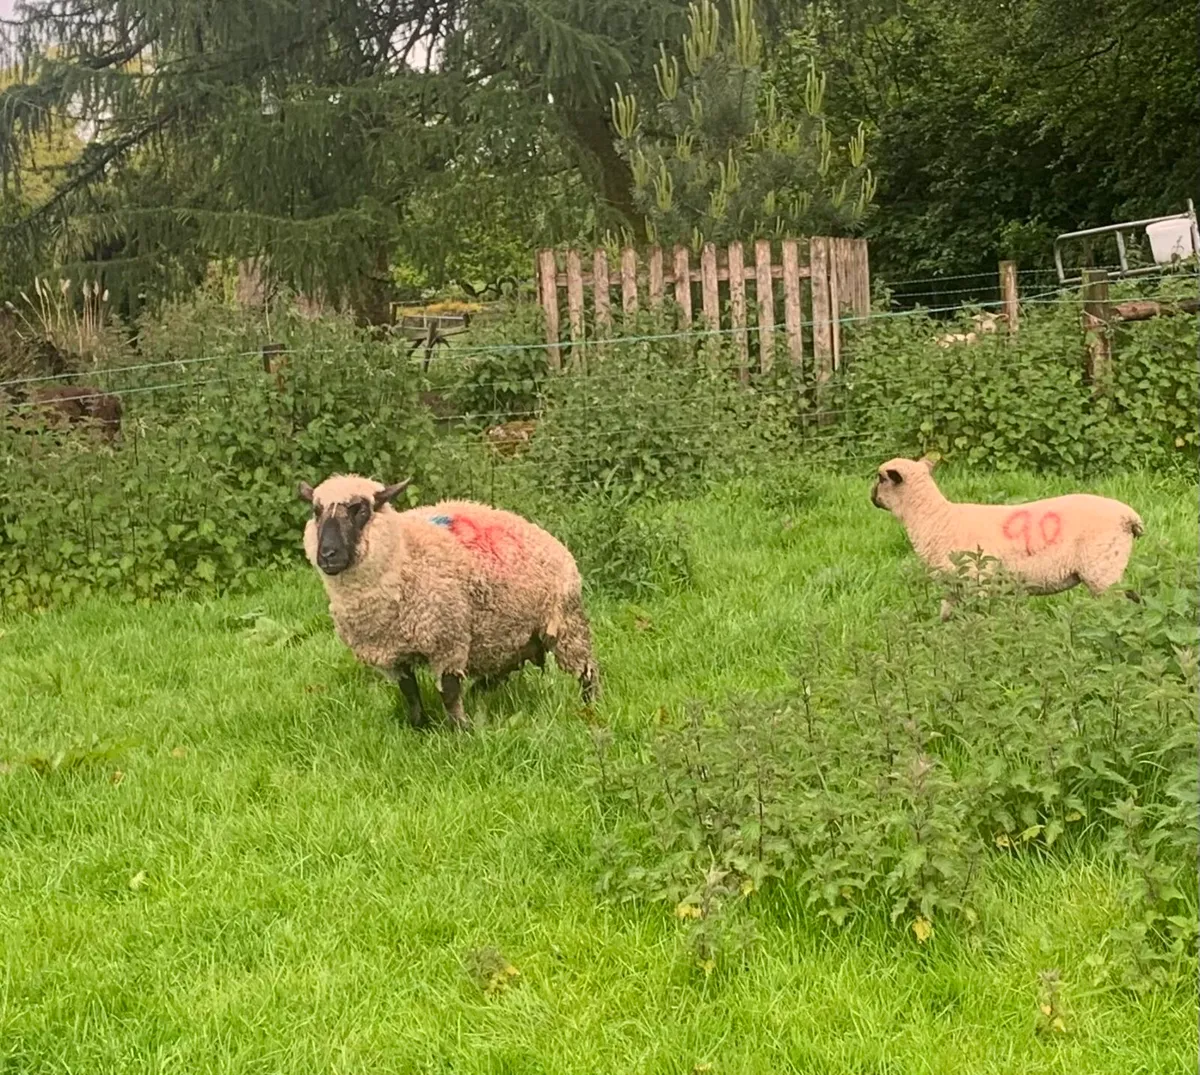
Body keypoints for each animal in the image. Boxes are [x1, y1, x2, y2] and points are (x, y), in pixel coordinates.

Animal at [298, 473, 600, 730]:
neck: (404, 555)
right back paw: (481, 690)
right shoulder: (393, 653)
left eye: (359, 509)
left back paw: (591, 707)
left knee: (587, 671)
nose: (328, 555)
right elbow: (410, 692)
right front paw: (418, 726)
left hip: (566, 624)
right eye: (316, 511)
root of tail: (547, 537)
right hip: (505, 634)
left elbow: (450, 693)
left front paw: (460, 731)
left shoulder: (447, 640)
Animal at [870, 456, 1144, 620]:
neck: (935, 518)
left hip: (1102, 570)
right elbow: (947, 616)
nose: (870, 496)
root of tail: (1130, 517)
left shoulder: (975, 582)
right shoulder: (954, 586)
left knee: (1118, 605)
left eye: (881, 478)